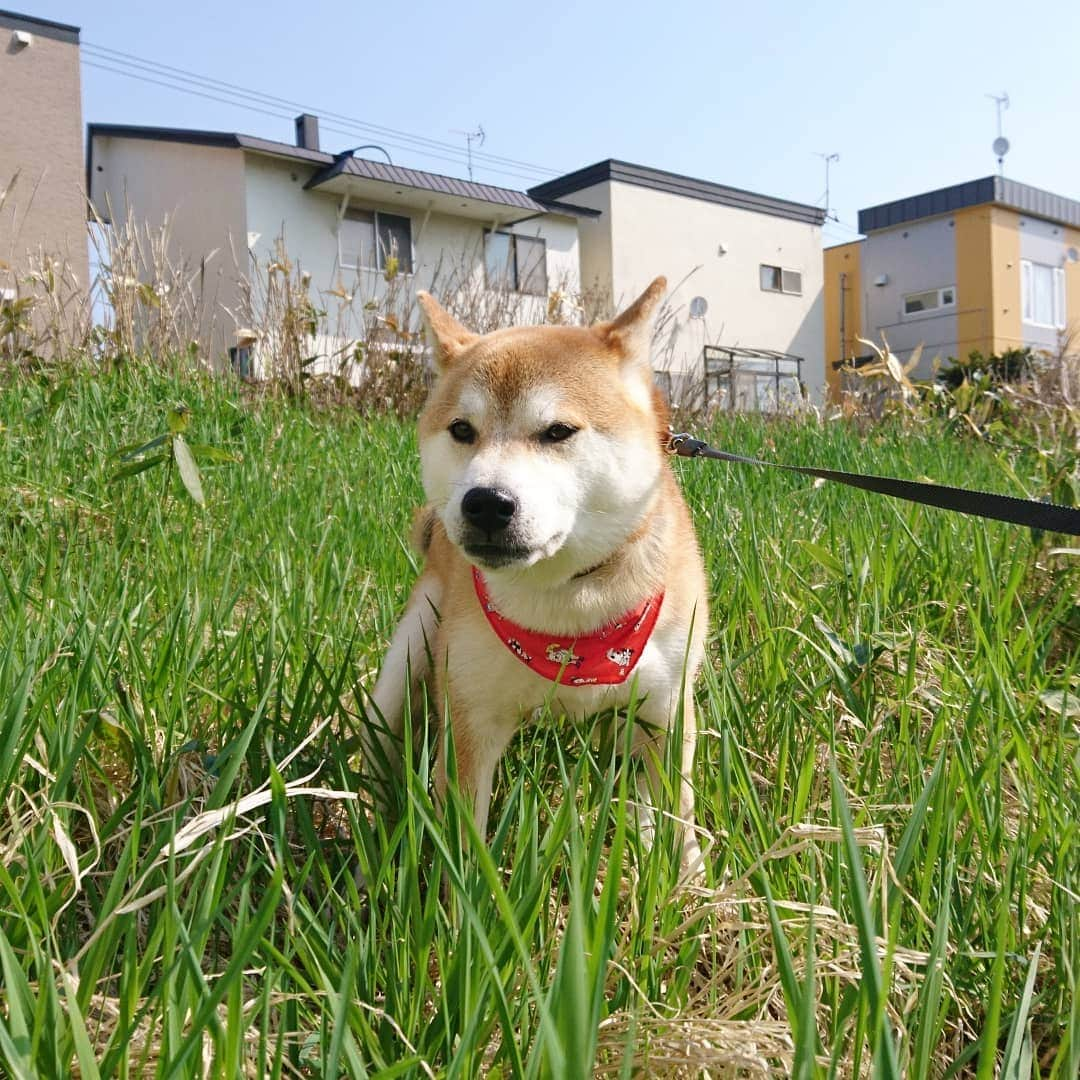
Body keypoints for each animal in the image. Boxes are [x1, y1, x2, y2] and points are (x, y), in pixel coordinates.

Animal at [369, 274, 708, 872]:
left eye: (558, 431)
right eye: (462, 429)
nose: (485, 503)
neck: (568, 612)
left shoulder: (667, 708)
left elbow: (675, 808)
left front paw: (687, 876)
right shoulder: (471, 716)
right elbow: (466, 846)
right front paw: (468, 894)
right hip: (409, 652)